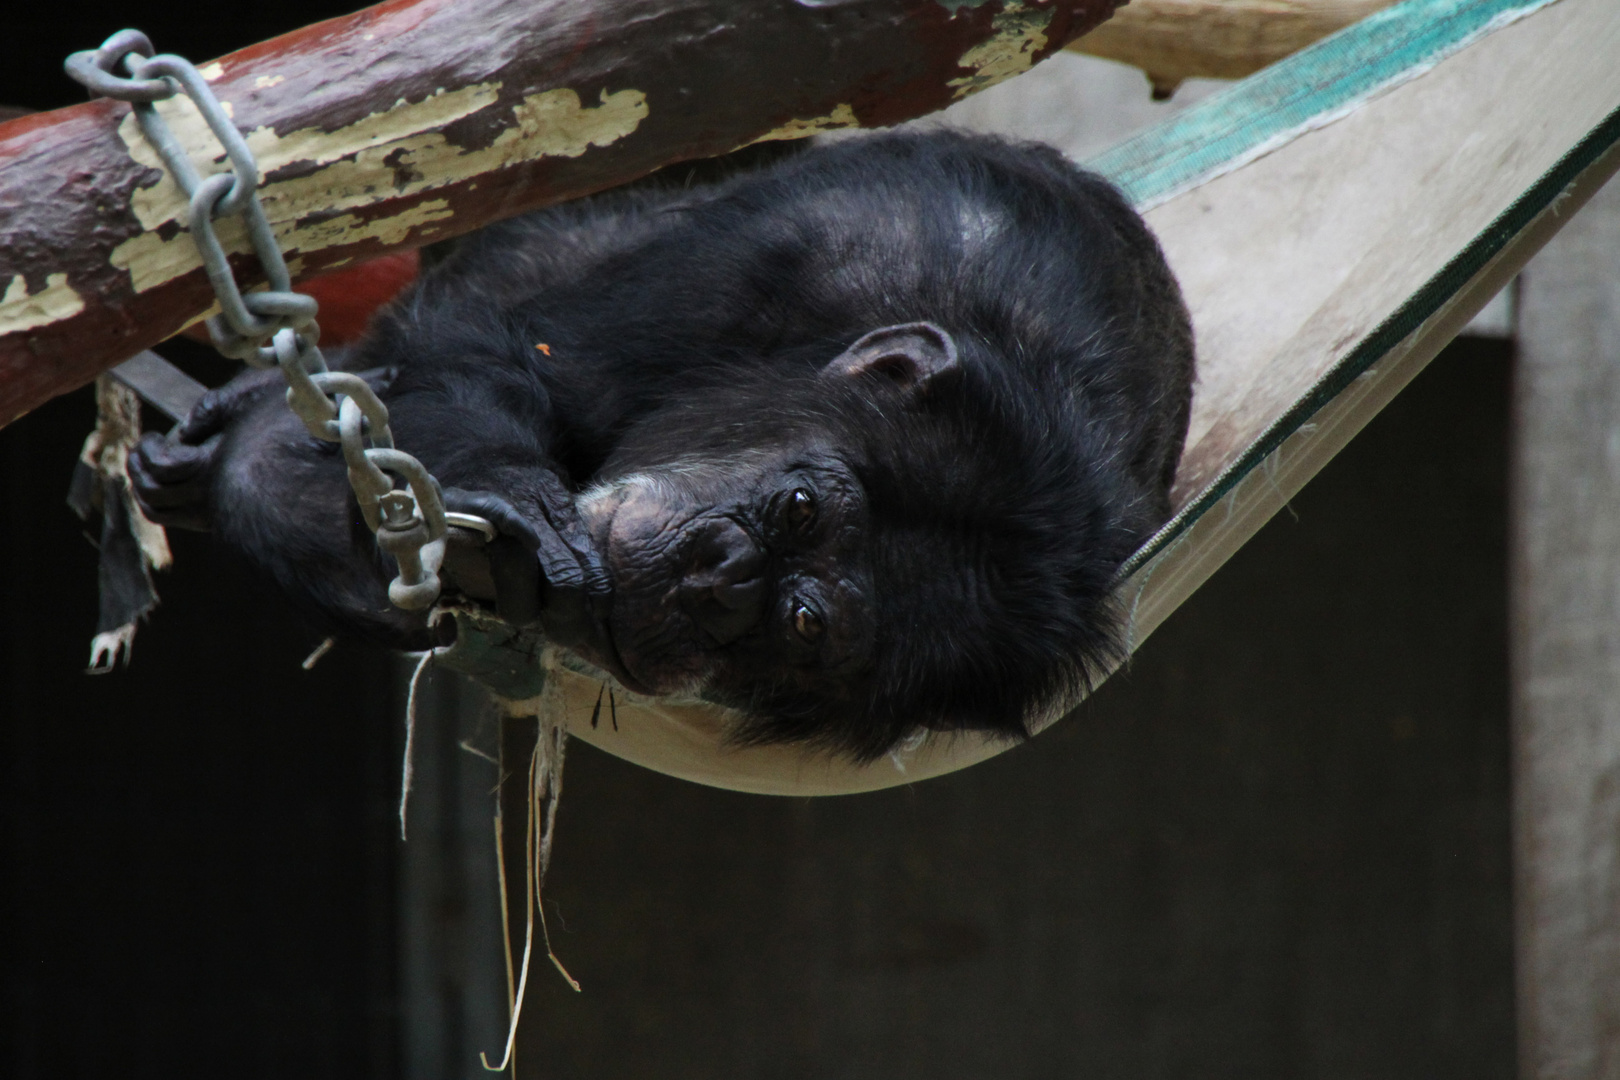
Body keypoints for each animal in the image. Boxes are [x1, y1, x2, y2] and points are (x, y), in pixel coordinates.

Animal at [129, 128, 1192, 761]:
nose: (720, 579)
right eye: (800, 506)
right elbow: (497, 346)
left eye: (806, 627)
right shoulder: (797, 251)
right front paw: (503, 489)